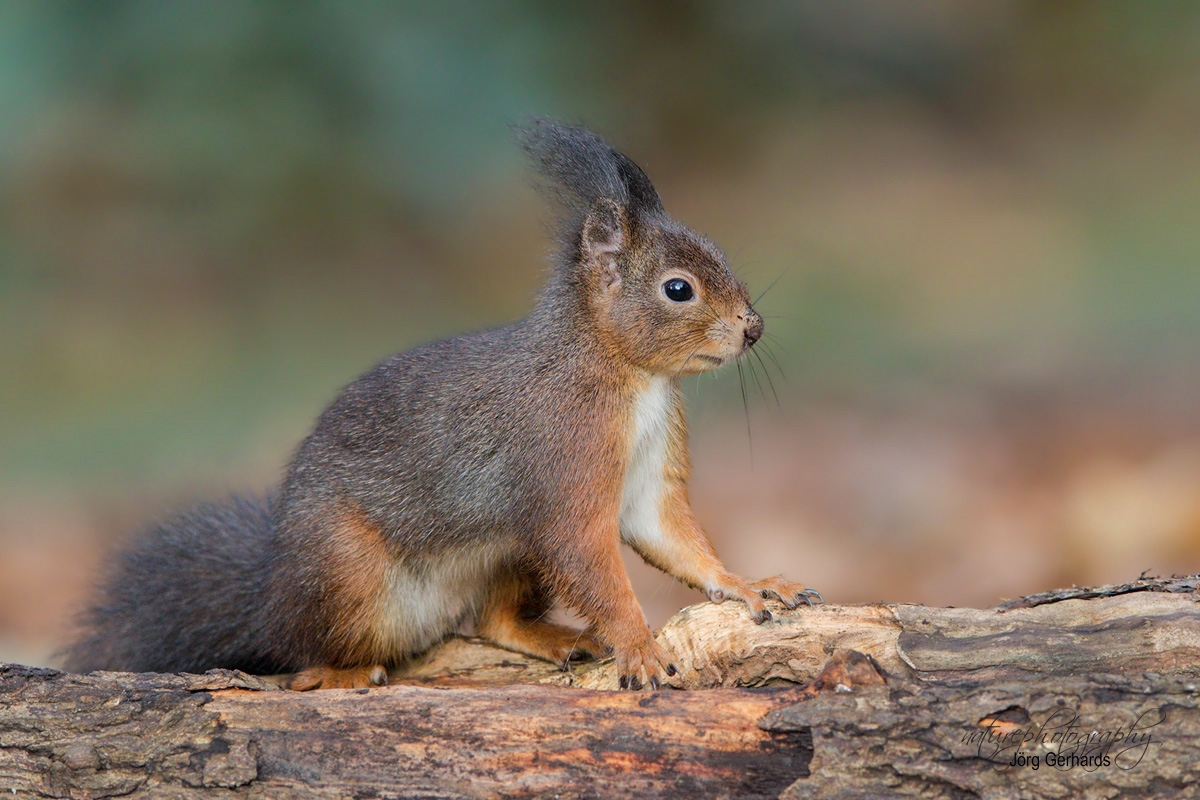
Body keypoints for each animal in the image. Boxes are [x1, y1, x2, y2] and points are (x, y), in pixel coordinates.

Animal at [63, 120, 825, 695]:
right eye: (678, 289)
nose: (754, 327)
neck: (630, 378)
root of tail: (273, 592)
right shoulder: (563, 462)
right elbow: (592, 558)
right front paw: (639, 645)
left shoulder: (647, 469)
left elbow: (671, 536)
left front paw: (749, 584)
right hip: (350, 573)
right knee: (300, 655)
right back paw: (340, 672)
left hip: (506, 554)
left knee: (488, 621)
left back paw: (551, 637)